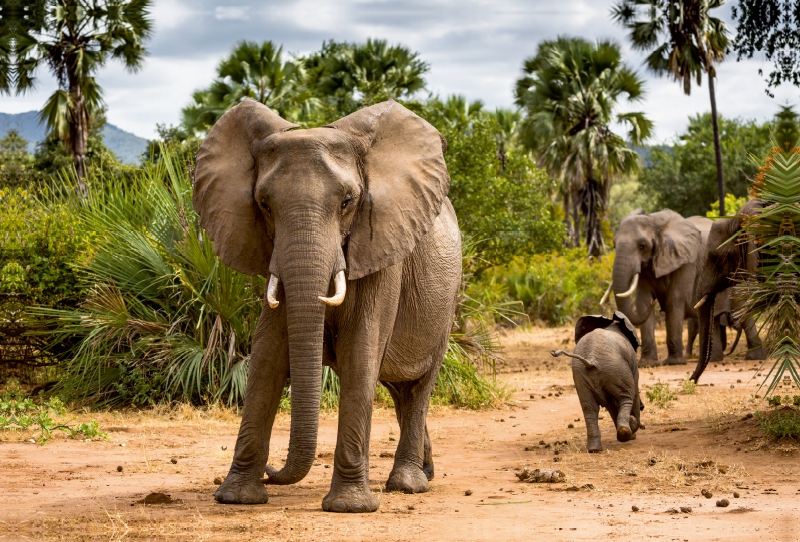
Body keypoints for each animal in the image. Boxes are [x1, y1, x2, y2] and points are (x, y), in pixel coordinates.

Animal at [193, 99, 462, 516]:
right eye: (264, 204)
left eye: (348, 202)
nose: (273, 470)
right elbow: (268, 354)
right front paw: (236, 498)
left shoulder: (381, 247)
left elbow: (360, 351)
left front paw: (349, 507)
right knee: (398, 389)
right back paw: (425, 472)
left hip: (447, 304)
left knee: (418, 387)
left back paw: (408, 484)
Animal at [552, 312, 644, 452]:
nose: (643, 407)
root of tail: (590, 360)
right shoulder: (632, 365)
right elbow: (634, 392)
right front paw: (632, 434)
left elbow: (610, 405)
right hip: (615, 369)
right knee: (627, 397)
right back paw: (626, 431)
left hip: (582, 375)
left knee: (589, 408)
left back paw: (594, 449)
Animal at [608, 210, 704, 368]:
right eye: (614, 245)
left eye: (642, 246)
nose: (655, 303)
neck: (655, 220)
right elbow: (643, 302)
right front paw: (648, 364)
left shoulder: (686, 261)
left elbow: (674, 300)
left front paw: (674, 363)